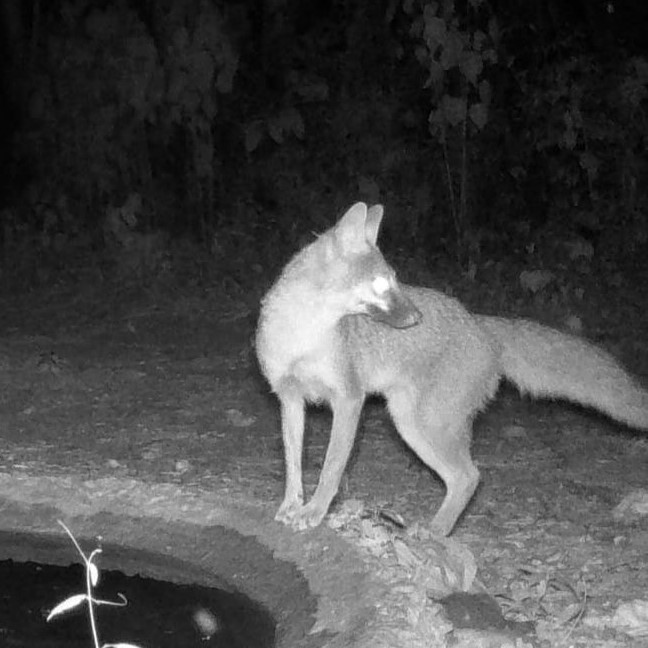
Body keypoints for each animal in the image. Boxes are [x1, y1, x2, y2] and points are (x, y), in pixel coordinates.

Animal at [255, 202, 648, 536]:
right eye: (382, 282)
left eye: (397, 278)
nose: (417, 317)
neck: (302, 337)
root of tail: (479, 322)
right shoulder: (290, 400)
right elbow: (293, 464)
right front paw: (292, 505)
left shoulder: (349, 400)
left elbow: (331, 468)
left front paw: (315, 511)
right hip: (412, 425)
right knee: (463, 477)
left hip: (421, 425)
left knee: (469, 476)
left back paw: (434, 533)